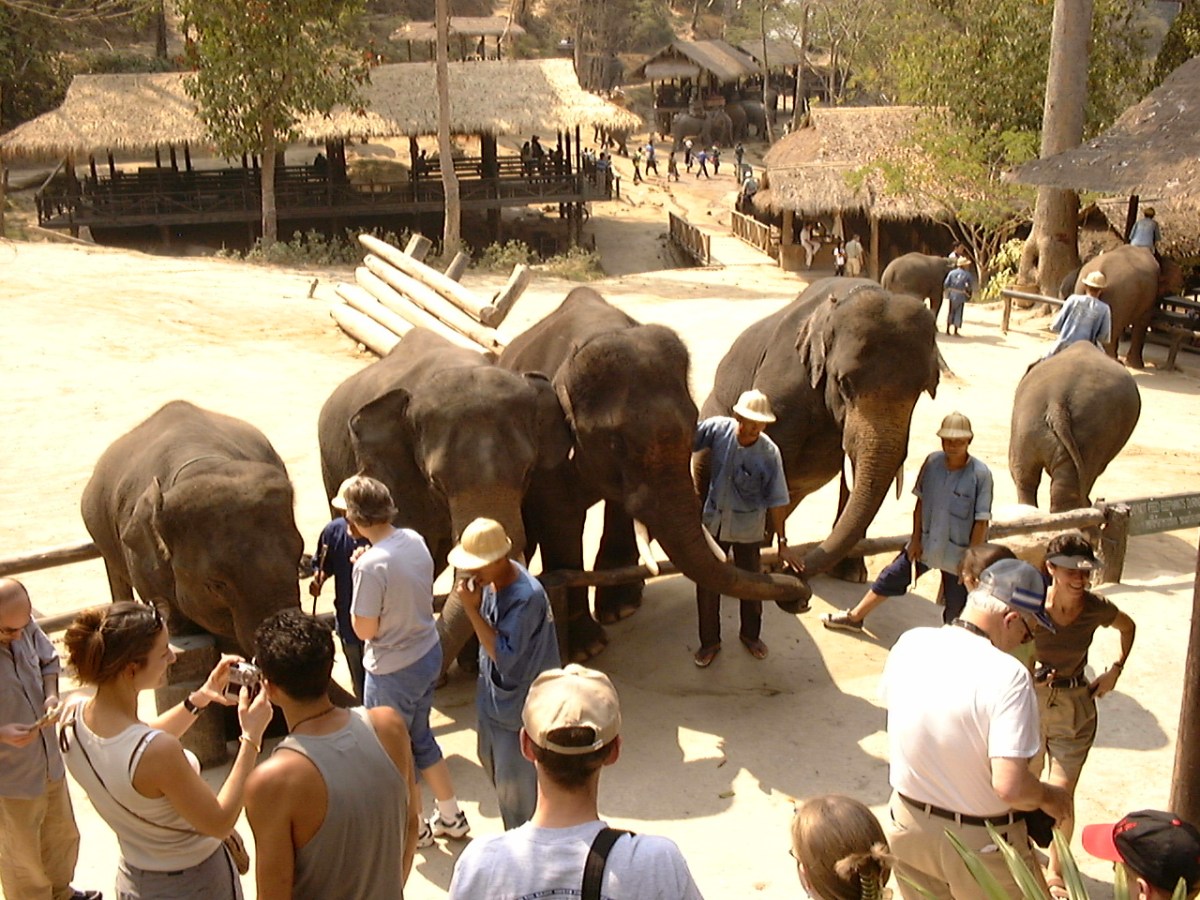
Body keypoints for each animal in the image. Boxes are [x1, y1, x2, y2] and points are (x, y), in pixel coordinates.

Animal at [499, 287, 809, 658]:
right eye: (615, 443)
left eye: (694, 425)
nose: (800, 597)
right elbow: (561, 522)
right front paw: (588, 650)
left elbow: (619, 507)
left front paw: (621, 609)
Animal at [701, 278, 940, 581]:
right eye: (845, 383)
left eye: (921, 389)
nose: (794, 568)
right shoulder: (781, 389)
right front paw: (766, 561)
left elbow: (851, 478)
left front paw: (850, 573)